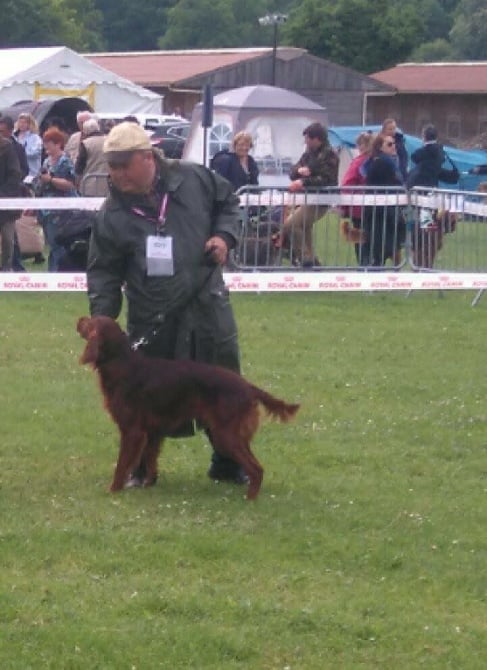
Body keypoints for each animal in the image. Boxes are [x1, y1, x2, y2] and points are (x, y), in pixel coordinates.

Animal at [76, 318, 300, 502]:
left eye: (90, 321)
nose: (79, 320)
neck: (121, 362)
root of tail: (247, 386)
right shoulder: (153, 431)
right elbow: (150, 460)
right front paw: (148, 485)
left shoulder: (132, 431)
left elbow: (122, 464)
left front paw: (113, 489)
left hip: (225, 435)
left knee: (256, 468)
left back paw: (250, 498)